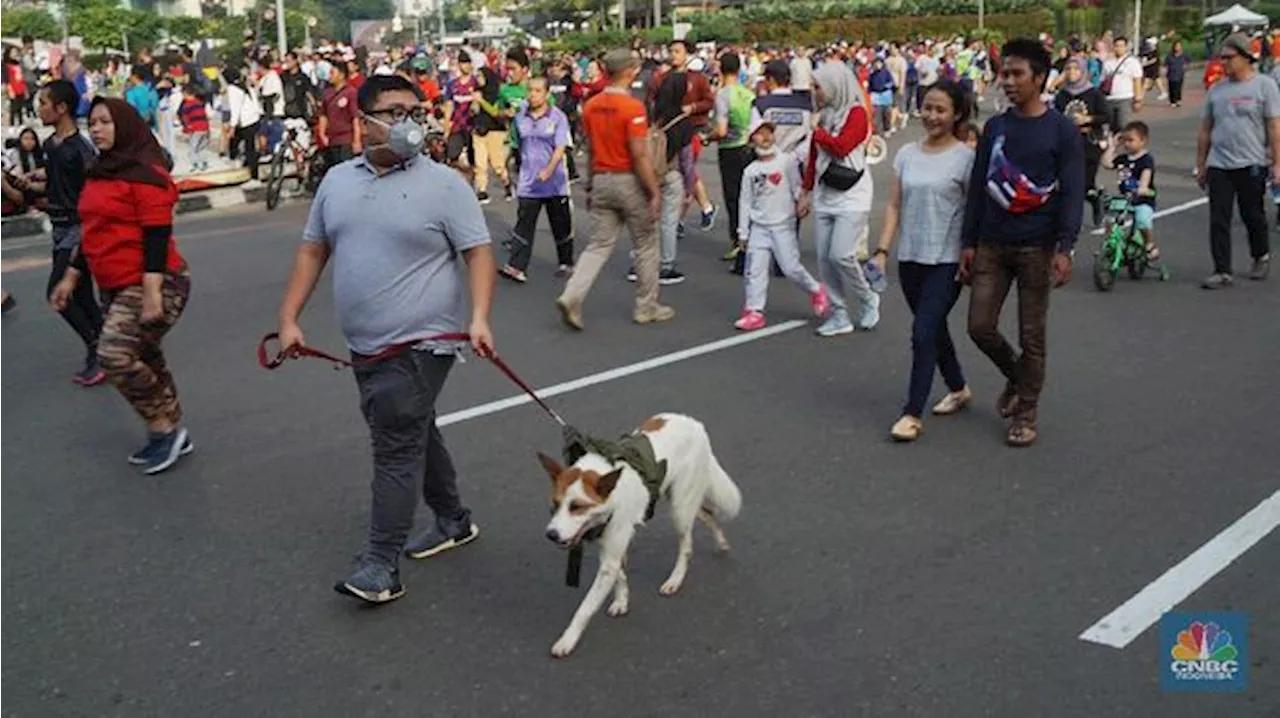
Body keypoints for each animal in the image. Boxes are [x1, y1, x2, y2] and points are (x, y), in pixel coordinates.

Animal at [537, 412, 742, 660]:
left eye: (577, 507)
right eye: (555, 505)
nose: (551, 534)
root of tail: (695, 424)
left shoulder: (610, 556)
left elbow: (584, 609)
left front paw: (567, 640)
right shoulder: (610, 550)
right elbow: (621, 575)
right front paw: (622, 601)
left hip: (680, 508)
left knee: (686, 545)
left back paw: (675, 580)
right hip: (680, 499)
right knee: (709, 514)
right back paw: (721, 543)